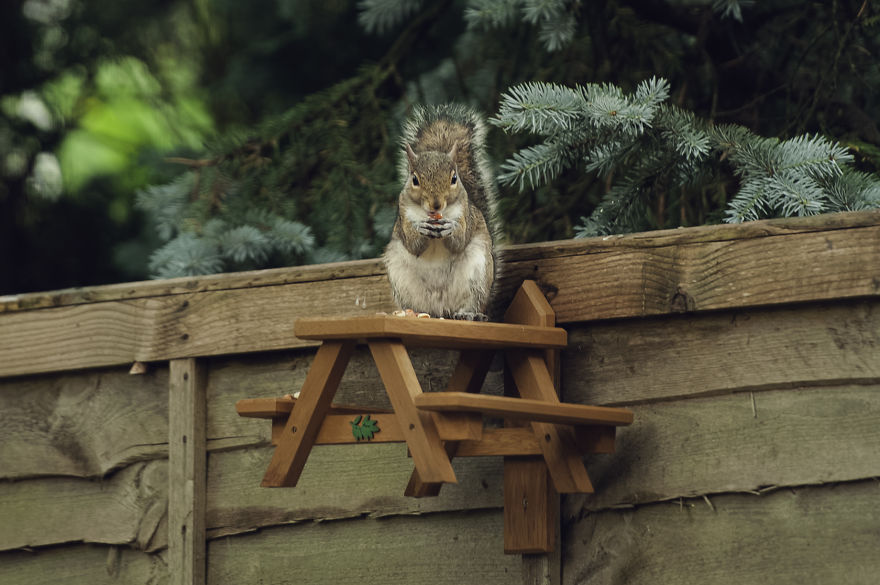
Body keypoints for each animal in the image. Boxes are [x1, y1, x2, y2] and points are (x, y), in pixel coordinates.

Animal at [383, 104, 500, 321]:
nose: (436, 204)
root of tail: (441, 310)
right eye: (414, 179)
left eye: (454, 178)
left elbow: (459, 242)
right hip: (400, 277)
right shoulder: (403, 216)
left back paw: (468, 314)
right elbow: (413, 245)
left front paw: (451, 228)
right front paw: (421, 229)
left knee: (472, 302)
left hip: (477, 274)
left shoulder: (466, 215)